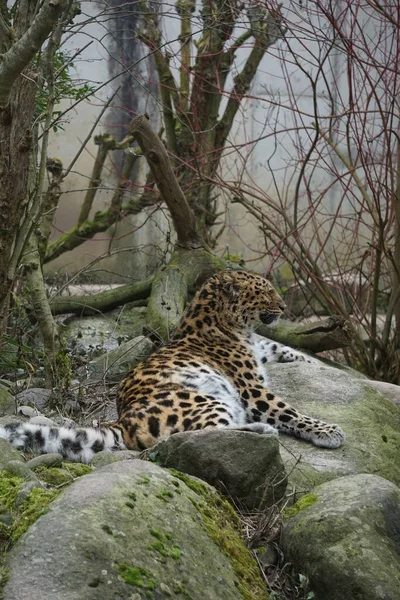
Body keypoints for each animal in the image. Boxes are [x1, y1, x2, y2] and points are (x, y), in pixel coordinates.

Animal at [0, 270, 344, 462]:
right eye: (265, 292)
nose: (284, 307)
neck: (232, 326)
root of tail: (124, 421)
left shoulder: (262, 348)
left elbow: (286, 349)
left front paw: (324, 366)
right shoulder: (251, 389)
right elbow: (289, 411)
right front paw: (327, 431)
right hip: (205, 399)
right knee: (196, 437)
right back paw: (260, 430)